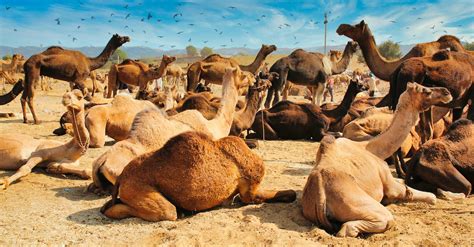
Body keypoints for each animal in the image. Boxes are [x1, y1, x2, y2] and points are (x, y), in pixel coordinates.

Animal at [0, 33, 130, 124]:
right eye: (119, 36)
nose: (128, 37)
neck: (89, 62)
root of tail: (26, 63)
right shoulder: (79, 79)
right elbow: (88, 96)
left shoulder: (74, 81)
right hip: (34, 73)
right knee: (30, 97)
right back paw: (37, 120)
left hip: (27, 75)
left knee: (23, 97)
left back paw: (26, 120)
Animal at [300, 82, 452, 236]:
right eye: (426, 91)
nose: (447, 92)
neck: (372, 148)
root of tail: (320, 192)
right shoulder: (389, 182)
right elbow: (428, 196)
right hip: (356, 202)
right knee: (366, 224)